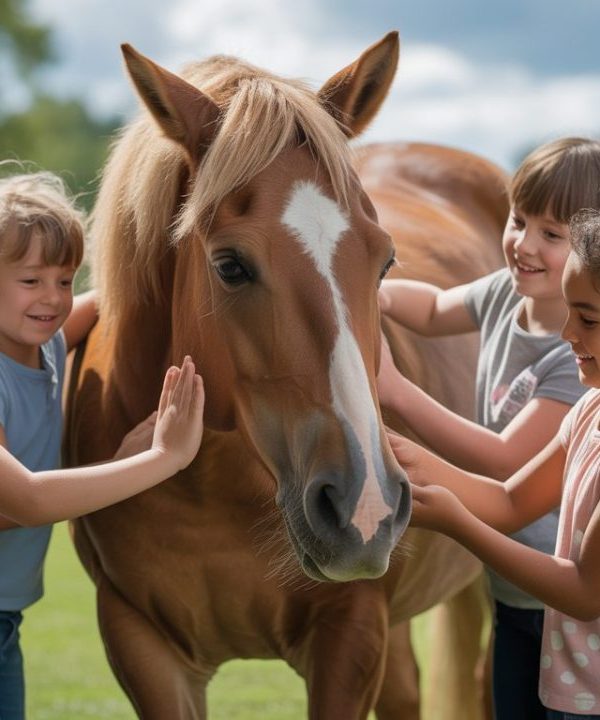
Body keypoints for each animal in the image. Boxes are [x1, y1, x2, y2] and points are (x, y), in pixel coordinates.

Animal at [65, 32, 508, 719]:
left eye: (385, 262)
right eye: (230, 265)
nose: (365, 506)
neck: (212, 494)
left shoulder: (349, 638)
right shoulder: (142, 646)